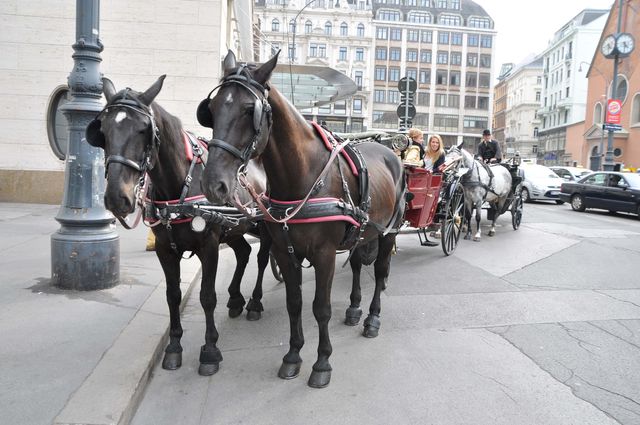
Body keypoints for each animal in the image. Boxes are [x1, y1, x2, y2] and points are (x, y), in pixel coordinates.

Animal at [85, 75, 272, 374]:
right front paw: (174, 347)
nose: (116, 197)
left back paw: (254, 301)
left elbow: (207, 296)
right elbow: (172, 295)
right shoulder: (165, 249)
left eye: (143, 130)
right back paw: (235, 298)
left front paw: (210, 349)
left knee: (263, 256)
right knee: (243, 252)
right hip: (233, 228)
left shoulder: (209, 245)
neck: (180, 185)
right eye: (102, 130)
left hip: (263, 224)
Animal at [198, 50, 404, 388]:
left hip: (388, 232)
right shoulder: (285, 251)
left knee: (381, 272)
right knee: (358, 265)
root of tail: (390, 152)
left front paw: (322, 362)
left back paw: (372, 317)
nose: (213, 183)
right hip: (364, 231)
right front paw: (293, 356)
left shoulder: (324, 255)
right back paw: (354, 307)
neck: (303, 174)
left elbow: (320, 308)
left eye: (249, 110)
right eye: (211, 110)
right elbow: (294, 304)